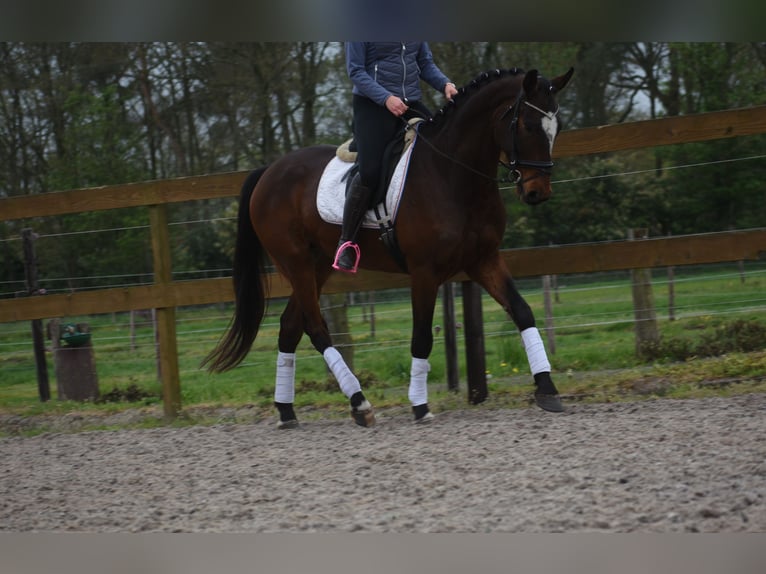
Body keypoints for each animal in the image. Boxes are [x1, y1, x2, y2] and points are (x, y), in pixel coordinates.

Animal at [202, 66, 575, 428]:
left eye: (556, 128)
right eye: (527, 126)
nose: (537, 193)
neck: (451, 174)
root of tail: (269, 171)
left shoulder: (484, 261)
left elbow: (522, 311)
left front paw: (547, 389)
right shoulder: (425, 272)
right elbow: (422, 336)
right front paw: (420, 406)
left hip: (317, 265)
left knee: (290, 326)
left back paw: (286, 412)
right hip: (295, 262)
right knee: (315, 327)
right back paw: (359, 403)